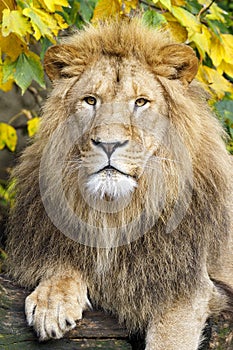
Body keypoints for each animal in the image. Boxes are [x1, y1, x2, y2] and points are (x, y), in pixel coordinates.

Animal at [5, 19, 233, 350]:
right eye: (90, 100)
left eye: (140, 102)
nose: (109, 144)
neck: (115, 212)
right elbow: (64, 261)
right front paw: (52, 302)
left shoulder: (188, 288)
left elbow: (168, 340)